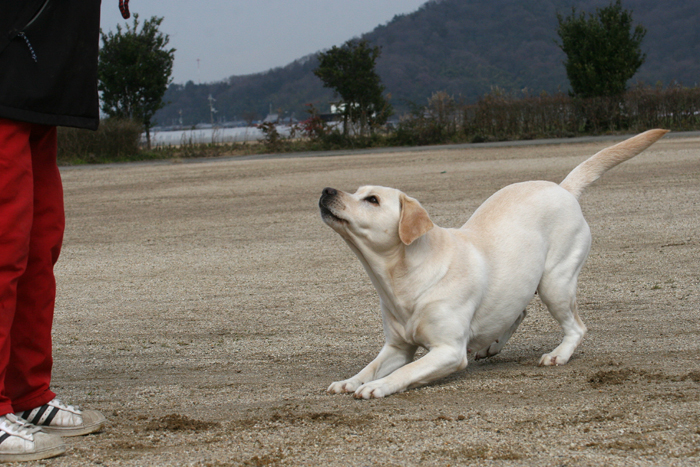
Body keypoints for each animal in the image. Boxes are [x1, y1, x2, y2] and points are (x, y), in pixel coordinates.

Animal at [320, 130, 668, 400]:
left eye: (372, 200)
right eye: (357, 191)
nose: (326, 189)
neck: (401, 279)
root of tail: (562, 188)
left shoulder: (448, 350)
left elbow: (407, 371)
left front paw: (377, 387)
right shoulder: (396, 347)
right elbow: (371, 366)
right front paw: (349, 381)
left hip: (555, 282)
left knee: (577, 327)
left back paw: (558, 355)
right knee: (519, 311)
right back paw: (493, 345)